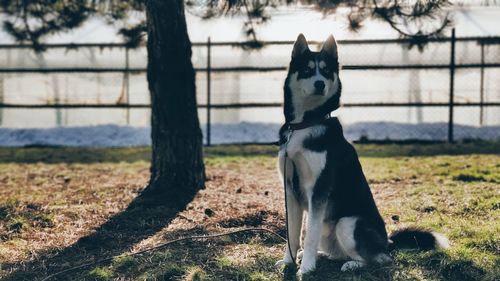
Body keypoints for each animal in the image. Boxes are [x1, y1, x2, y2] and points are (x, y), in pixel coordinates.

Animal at [278, 34, 450, 274]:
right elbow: (292, 234)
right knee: (338, 252)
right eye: (307, 70)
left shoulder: (319, 190)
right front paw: (289, 261)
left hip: (348, 223)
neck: (305, 124)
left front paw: (306, 269)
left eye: (326, 71)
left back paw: (352, 264)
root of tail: (388, 242)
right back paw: (322, 256)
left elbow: (309, 234)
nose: (320, 83)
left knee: (381, 258)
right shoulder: (290, 189)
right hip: (330, 228)